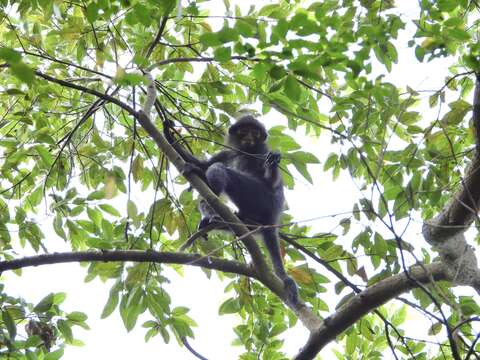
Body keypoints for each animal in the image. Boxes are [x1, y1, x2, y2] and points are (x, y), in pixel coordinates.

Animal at [165, 114, 300, 304]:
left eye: (255, 133)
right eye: (244, 131)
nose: (249, 137)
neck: (246, 151)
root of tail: (272, 217)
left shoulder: (261, 154)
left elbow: (272, 182)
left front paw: (274, 161)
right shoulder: (229, 152)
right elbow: (203, 162)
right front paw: (168, 135)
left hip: (260, 196)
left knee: (219, 169)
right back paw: (213, 217)